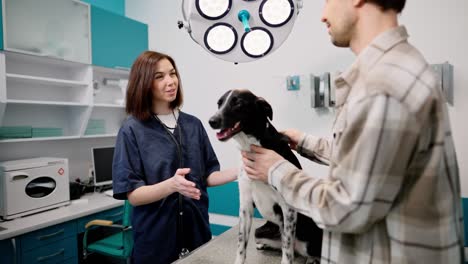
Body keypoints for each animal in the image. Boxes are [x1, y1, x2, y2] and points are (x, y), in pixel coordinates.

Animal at [208, 89, 322, 262]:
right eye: (219, 103)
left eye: (238, 103)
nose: (212, 121)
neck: (250, 146)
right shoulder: (245, 205)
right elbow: (241, 244)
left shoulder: (288, 209)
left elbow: (287, 249)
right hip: (260, 232)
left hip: (309, 239)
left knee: (302, 250)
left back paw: (312, 259)